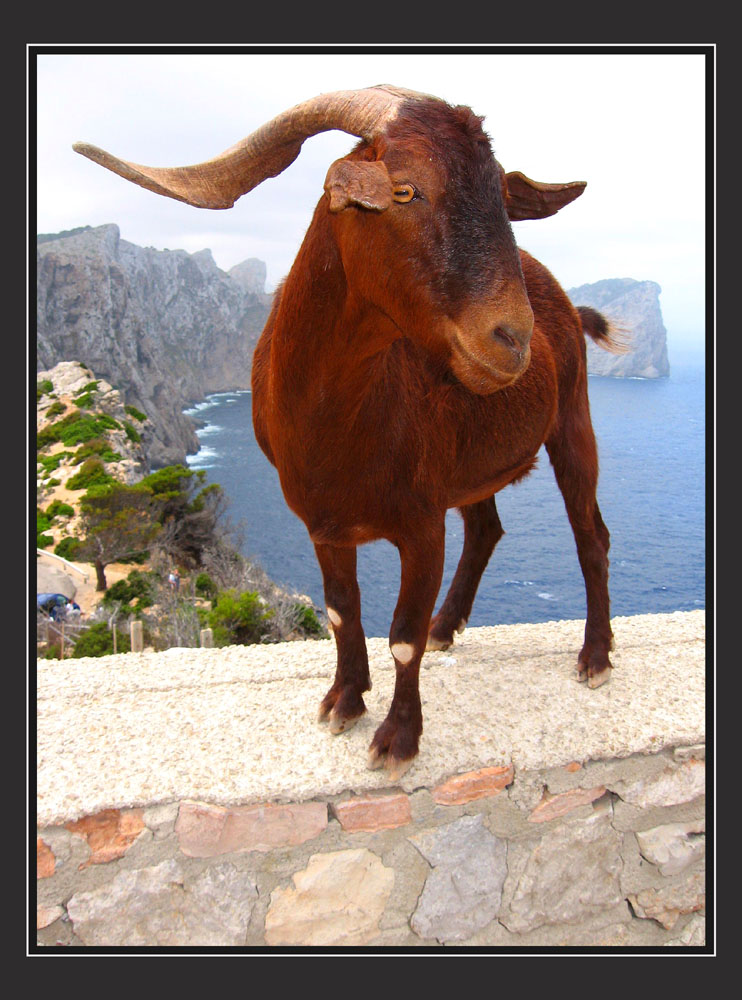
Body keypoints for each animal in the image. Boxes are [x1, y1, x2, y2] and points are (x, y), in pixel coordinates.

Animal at [75, 86, 620, 780]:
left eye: (501, 197)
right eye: (407, 190)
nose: (512, 340)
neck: (339, 424)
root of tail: (563, 303)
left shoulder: (421, 525)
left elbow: (402, 636)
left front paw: (397, 739)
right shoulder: (322, 521)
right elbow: (342, 610)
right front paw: (344, 700)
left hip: (572, 418)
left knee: (590, 533)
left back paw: (595, 656)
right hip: (472, 465)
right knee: (486, 528)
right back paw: (449, 626)